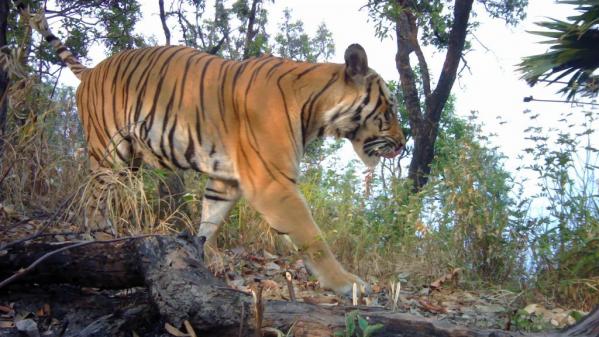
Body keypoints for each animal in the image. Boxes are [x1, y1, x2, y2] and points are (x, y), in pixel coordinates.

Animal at [16, 4, 406, 294]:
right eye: (389, 110)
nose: (403, 145)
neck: (315, 107)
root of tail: (92, 69)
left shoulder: (225, 180)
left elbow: (210, 220)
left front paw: (200, 255)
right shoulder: (273, 183)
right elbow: (313, 237)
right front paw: (348, 284)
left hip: (129, 161)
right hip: (109, 154)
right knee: (92, 199)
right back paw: (98, 235)